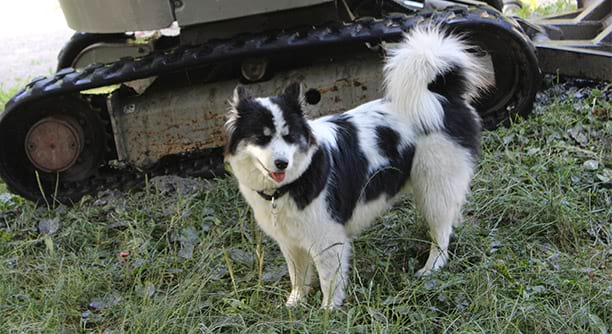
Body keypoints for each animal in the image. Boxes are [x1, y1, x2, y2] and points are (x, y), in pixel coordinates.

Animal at [224, 27, 488, 306]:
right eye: (261, 137)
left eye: (289, 136)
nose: (282, 163)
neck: (292, 183)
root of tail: (441, 94)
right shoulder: (291, 241)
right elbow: (298, 276)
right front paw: (294, 304)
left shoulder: (328, 239)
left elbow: (329, 280)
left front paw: (328, 309)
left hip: (435, 184)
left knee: (441, 232)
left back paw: (431, 267)